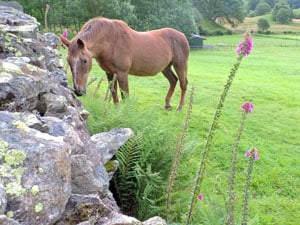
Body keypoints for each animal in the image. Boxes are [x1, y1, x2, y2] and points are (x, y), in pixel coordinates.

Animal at [59, 16, 189, 110]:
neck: (110, 40)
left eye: (85, 60)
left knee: (183, 83)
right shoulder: (110, 73)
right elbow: (114, 92)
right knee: (173, 80)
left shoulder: (122, 73)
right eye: (68, 61)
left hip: (180, 65)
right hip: (165, 67)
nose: (78, 91)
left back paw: (180, 107)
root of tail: (182, 35)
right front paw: (117, 109)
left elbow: (124, 94)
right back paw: (167, 104)